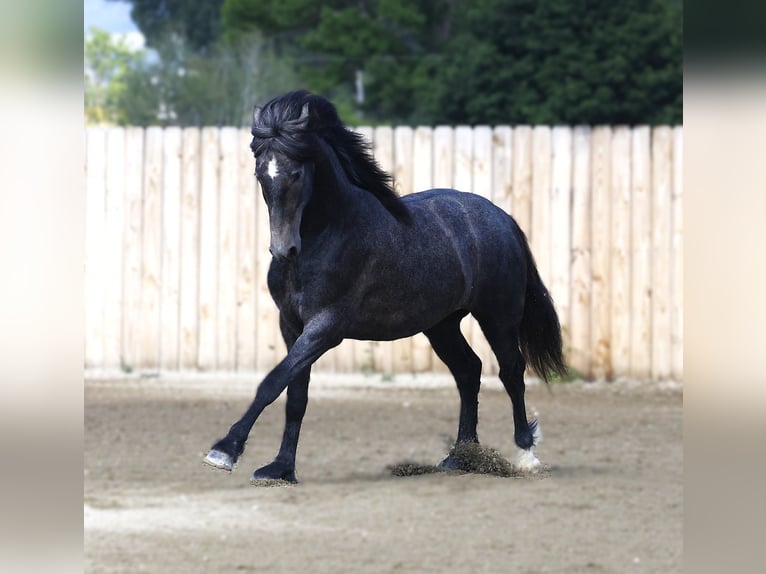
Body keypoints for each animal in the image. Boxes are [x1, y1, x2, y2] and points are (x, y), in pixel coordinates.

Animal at [203, 90, 567, 483]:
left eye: (297, 173)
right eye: (260, 174)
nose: (284, 250)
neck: (329, 231)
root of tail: (503, 219)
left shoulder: (325, 328)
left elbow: (272, 382)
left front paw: (224, 451)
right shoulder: (292, 325)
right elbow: (294, 394)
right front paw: (281, 468)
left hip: (498, 317)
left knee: (511, 372)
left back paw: (525, 456)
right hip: (441, 325)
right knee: (469, 372)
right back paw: (459, 457)